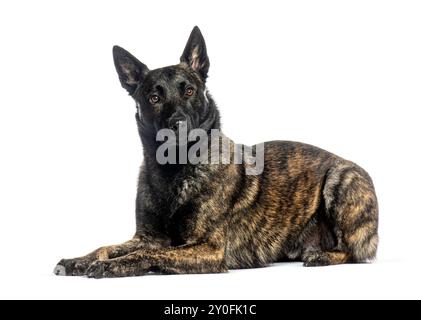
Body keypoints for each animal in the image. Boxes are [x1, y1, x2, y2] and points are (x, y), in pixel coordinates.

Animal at [53, 26, 378, 278]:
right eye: (154, 98)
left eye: (189, 91)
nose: (178, 125)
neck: (174, 170)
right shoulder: (148, 237)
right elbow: (107, 246)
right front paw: (80, 260)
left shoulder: (208, 249)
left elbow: (151, 255)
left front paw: (112, 266)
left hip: (340, 180)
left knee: (352, 251)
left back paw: (322, 256)